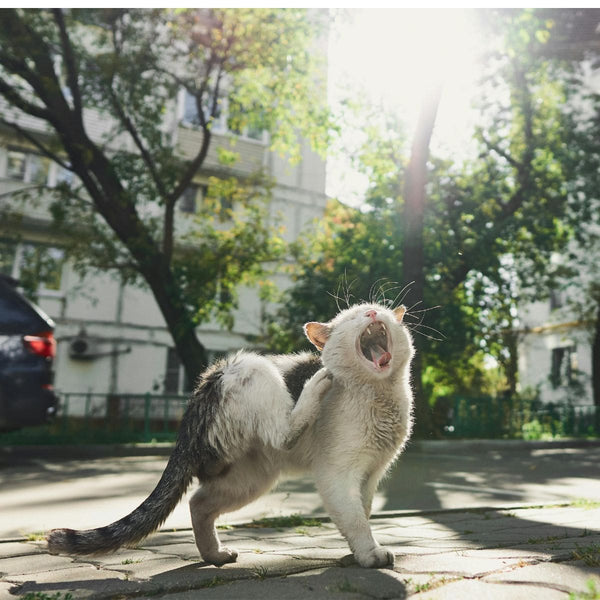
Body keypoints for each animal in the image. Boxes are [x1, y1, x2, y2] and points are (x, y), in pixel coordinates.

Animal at [47, 302, 414, 568]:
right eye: (353, 316)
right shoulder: (336, 474)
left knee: (198, 503)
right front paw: (369, 554)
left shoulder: (370, 475)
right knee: (283, 432)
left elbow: (361, 511)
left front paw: (356, 551)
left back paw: (214, 555)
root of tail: (203, 386)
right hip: (254, 367)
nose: (372, 314)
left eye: (379, 309)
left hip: (249, 479)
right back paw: (316, 384)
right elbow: (354, 519)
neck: (379, 395)